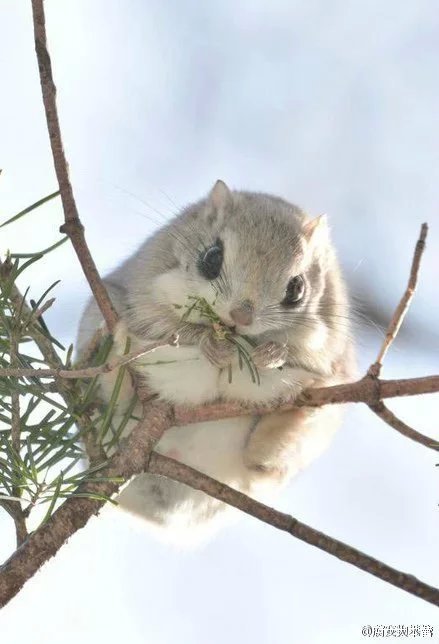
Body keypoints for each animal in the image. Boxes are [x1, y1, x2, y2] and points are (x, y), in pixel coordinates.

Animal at [77, 181, 356, 544]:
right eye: (211, 257)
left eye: (297, 289)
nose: (241, 317)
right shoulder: (148, 292)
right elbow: (172, 328)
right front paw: (212, 345)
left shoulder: (328, 343)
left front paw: (271, 353)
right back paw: (117, 348)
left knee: (262, 462)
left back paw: (295, 412)